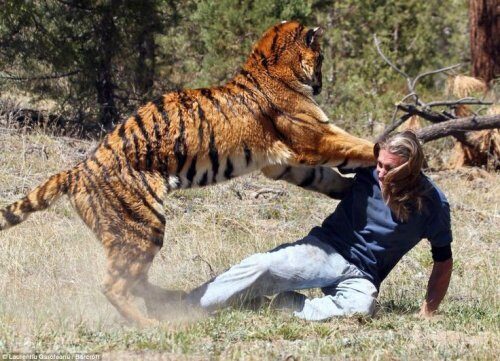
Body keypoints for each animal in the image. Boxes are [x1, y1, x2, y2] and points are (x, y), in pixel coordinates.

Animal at [0, 21, 376, 324]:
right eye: (322, 58)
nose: (322, 83)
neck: (269, 63)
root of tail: (77, 169)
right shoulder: (314, 137)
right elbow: (356, 145)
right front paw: (386, 150)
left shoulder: (281, 162)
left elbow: (323, 177)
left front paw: (347, 190)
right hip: (143, 226)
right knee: (114, 285)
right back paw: (153, 325)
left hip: (131, 234)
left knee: (136, 280)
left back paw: (168, 301)